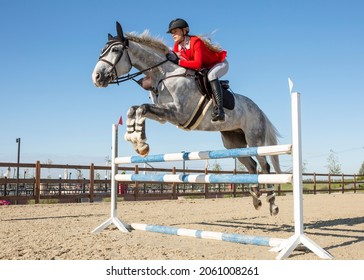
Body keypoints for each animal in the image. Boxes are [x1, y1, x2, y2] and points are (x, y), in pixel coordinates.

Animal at [92, 21, 282, 215]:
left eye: (115, 50)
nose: (96, 77)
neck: (164, 74)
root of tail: (260, 110)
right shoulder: (164, 116)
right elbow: (134, 109)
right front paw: (136, 140)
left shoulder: (178, 113)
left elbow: (142, 109)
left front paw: (141, 144)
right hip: (233, 143)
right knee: (251, 165)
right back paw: (256, 199)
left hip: (254, 139)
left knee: (264, 165)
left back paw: (272, 204)